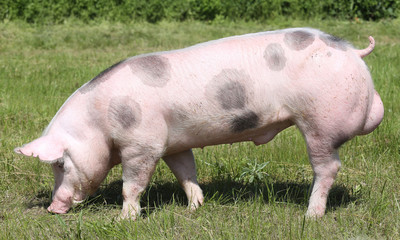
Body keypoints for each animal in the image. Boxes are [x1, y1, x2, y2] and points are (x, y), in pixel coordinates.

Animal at [14, 27, 384, 218]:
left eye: (60, 163)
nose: (53, 208)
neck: (99, 121)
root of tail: (353, 52)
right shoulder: (172, 142)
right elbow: (186, 172)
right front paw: (195, 207)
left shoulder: (142, 144)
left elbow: (132, 184)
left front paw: (126, 219)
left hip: (319, 120)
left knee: (328, 167)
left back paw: (310, 215)